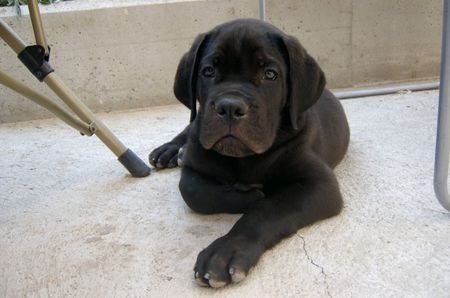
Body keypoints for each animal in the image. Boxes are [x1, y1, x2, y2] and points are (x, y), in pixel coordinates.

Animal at [149, 19, 350, 288]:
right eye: (208, 71)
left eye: (270, 74)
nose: (229, 107)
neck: (244, 160)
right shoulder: (195, 167)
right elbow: (193, 191)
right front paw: (251, 195)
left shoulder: (320, 183)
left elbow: (268, 210)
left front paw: (226, 251)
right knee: (189, 128)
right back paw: (170, 150)